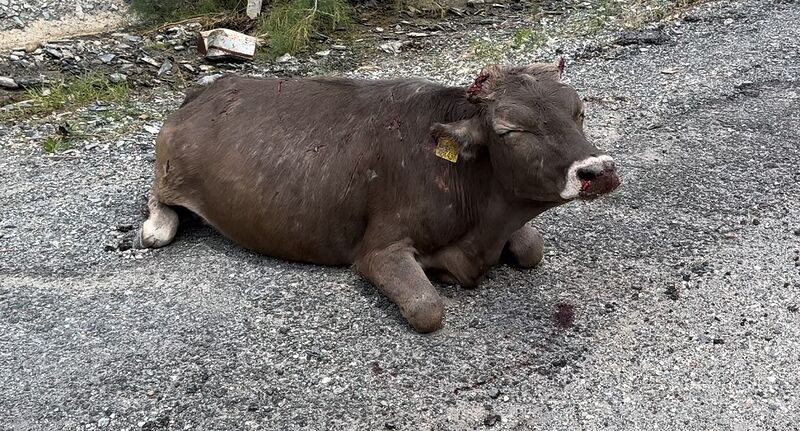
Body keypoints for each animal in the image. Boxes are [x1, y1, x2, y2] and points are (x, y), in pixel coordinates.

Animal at [138, 58, 620, 334]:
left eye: (578, 112)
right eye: (510, 130)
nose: (597, 171)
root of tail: (206, 88)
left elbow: (533, 248)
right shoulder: (379, 248)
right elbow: (427, 309)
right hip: (169, 165)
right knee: (157, 202)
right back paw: (157, 226)